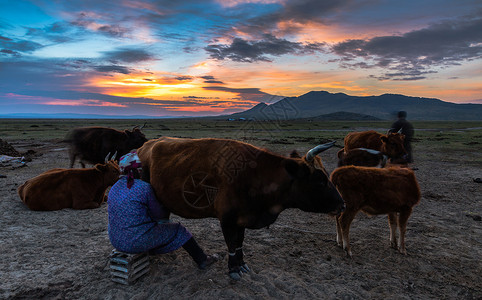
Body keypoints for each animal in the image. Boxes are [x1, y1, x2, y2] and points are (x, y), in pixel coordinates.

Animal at [137, 137, 344, 280]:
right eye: (320, 180)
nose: (342, 204)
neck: (254, 175)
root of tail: (145, 146)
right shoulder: (227, 220)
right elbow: (230, 243)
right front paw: (233, 268)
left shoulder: (242, 218)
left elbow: (239, 242)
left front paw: (242, 263)